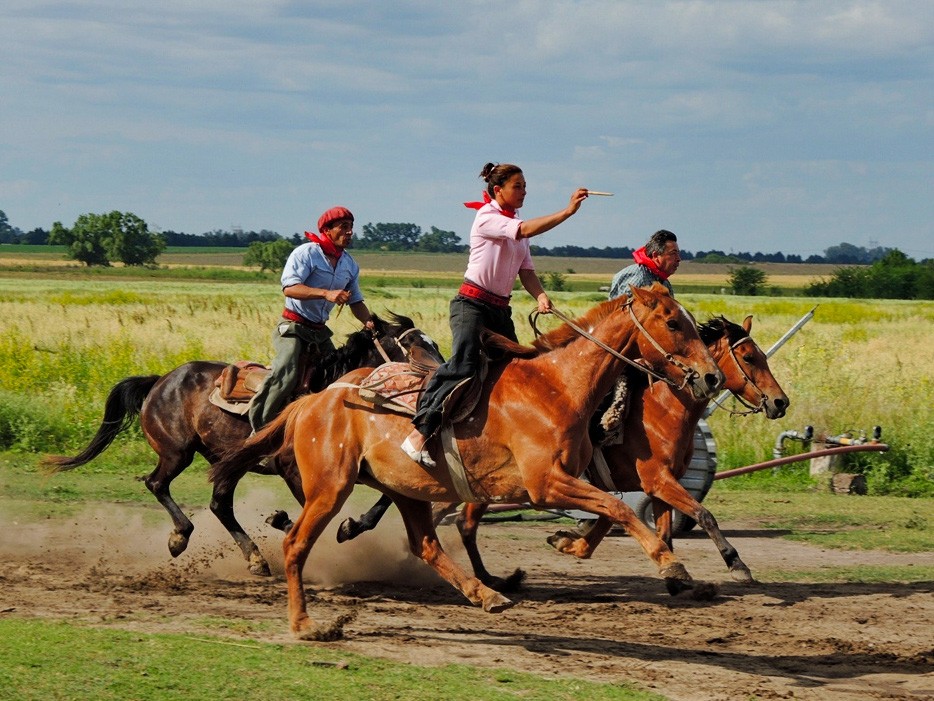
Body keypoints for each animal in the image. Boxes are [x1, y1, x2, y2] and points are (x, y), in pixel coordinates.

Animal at [45, 312, 448, 576]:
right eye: (411, 344)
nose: (441, 373)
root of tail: (160, 380)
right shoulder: (294, 470)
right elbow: (314, 511)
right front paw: (287, 521)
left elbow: (384, 500)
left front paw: (350, 526)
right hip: (177, 453)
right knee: (157, 483)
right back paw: (181, 537)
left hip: (224, 460)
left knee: (220, 504)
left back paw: (255, 557)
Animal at [212, 286, 724, 640]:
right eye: (673, 322)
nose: (712, 376)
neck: (557, 387)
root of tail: (314, 399)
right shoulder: (546, 483)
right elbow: (617, 508)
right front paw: (671, 566)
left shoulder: (568, 478)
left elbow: (614, 509)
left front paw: (572, 544)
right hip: (330, 487)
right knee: (296, 542)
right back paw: (305, 622)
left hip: (403, 489)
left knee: (426, 546)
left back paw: (488, 593)